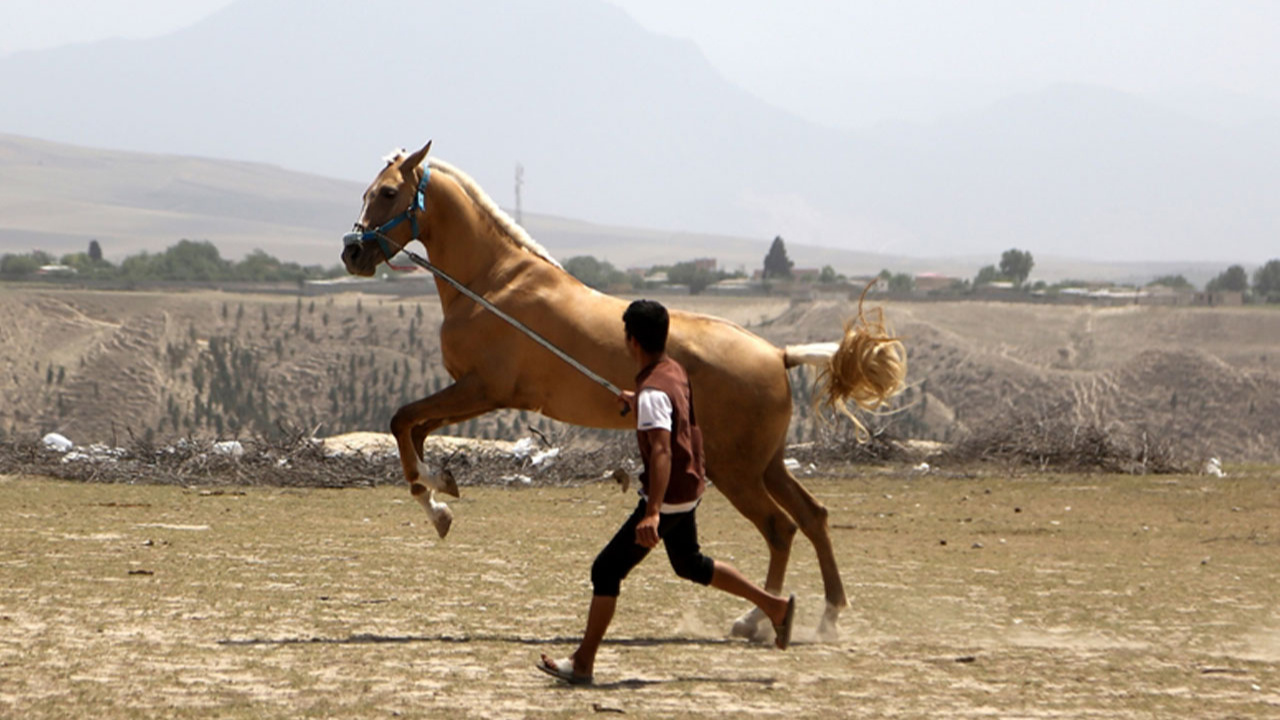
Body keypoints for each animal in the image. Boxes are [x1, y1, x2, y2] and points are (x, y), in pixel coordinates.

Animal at [335, 142, 906, 635]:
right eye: (367, 191)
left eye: (388, 192)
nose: (353, 253)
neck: (492, 284)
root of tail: (777, 354)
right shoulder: (475, 394)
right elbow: (415, 432)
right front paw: (443, 492)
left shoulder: (483, 390)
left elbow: (403, 422)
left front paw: (437, 503)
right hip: (765, 463)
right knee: (813, 517)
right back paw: (827, 615)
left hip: (736, 470)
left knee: (781, 528)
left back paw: (759, 621)